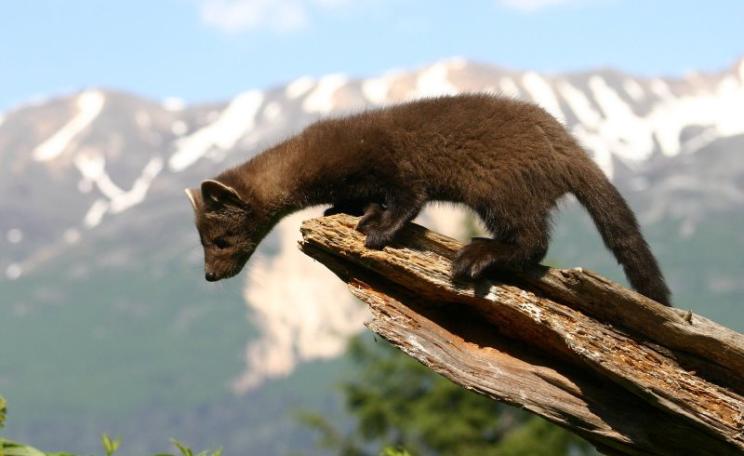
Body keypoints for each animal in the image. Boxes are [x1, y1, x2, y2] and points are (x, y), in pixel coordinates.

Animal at [186, 93, 671, 306]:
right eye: (202, 241)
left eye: (220, 241)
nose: (208, 275)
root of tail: (565, 145)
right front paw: (343, 211)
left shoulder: (389, 163)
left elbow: (407, 201)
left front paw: (377, 229)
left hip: (503, 189)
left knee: (532, 241)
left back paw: (476, 255)